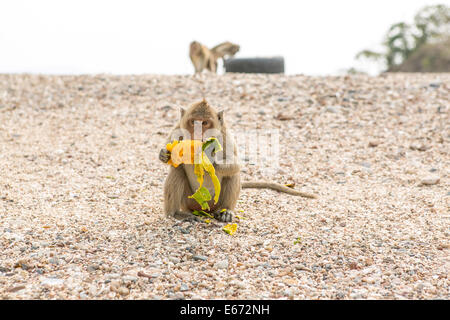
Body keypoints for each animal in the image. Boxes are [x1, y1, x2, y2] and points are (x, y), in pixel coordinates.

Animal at [158, 100, 316, 222]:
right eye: (193, 122)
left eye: (205, 123)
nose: (198, 132)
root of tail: (205, 209)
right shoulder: (177, 129)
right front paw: (164, 154)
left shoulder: (225, 135)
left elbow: (235, 164)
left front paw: (208, 159)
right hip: (189, 201)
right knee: (177, 171)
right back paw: (176, 214)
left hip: (215, 202)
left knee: (232, 174)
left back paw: (226, 211)